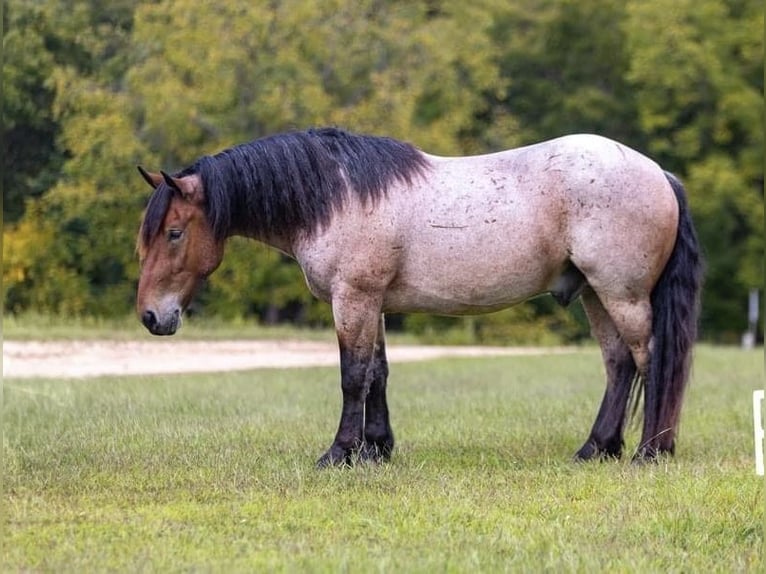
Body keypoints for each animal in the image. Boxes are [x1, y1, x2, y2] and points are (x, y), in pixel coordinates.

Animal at [135, 127, 702, 467]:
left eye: (174, 233)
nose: (150, 316)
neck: (336, 197)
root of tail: (659, 173)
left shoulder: (353, 299)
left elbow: (352, 377)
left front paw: (339, 453)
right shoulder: (374, 304)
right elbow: (378, 373)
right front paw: (376, 450)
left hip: (621, 293)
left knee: (651, 360)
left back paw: (650, 452)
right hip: (596, 295)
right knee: (618, 365)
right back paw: (595, 449)